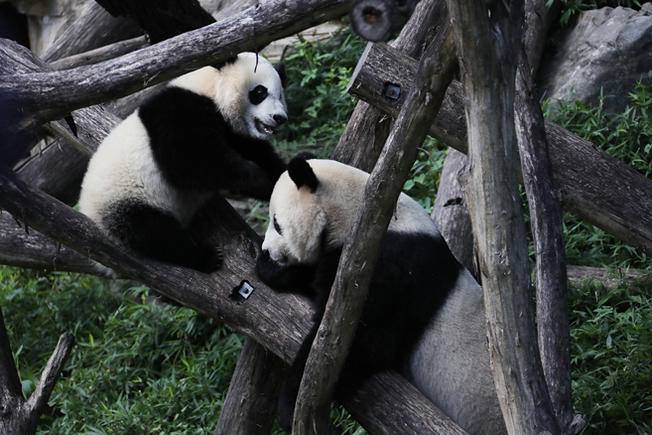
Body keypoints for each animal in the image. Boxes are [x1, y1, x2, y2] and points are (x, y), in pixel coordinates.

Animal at [78, 52, 286, 272]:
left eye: (280, 94)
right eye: (260, 92)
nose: (279, 117)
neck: (210, 89)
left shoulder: (231, 129)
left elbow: (257, 151)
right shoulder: (179, 113)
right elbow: (192, 163)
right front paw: (262, 182)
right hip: (124, 202)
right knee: (155, 233)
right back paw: (207, 257)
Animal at [255, 158, 504, 435]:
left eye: (277, 223)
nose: (268, 250)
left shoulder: (388, 268)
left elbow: (365, 341)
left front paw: (291, 404)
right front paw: (270, 269)